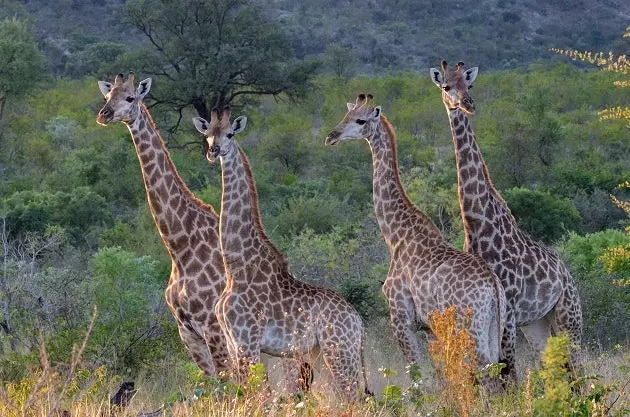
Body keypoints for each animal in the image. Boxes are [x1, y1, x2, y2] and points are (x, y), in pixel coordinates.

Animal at [96, 73, 312, 388]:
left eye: (130, 98)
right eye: (107, 95)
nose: (104, 114)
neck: (179, 244)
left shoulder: (212, 328)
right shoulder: (187, 333)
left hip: (280, 351)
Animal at [193, 106, 370, 400]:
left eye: (230, 134)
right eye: (207, 135)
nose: (213, 151)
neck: (235, 266)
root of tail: (358, 323)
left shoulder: (247, 341)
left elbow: (256, 397)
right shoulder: (232, 342)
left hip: (339, 350)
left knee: (355, 398)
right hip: (323, 354)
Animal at [326, 95, 508, 394]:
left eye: (360, 120)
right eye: (346, 115)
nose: (331, 136)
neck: (395, 235)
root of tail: (493, 287)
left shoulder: (401, 318)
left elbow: (416, 378)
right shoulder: (429, 328)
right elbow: (441, 378)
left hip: (468, 329)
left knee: (486, 376)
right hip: (494, 328)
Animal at [432, 61, 584, 380]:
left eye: (469, 84)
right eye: (446, 86)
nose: (467, 104)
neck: (477, 223)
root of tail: (567, 274)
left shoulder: (510, 308)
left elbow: (508, 370)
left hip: (569, 316)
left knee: (577, 370)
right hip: (538, 324)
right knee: (558, 370)